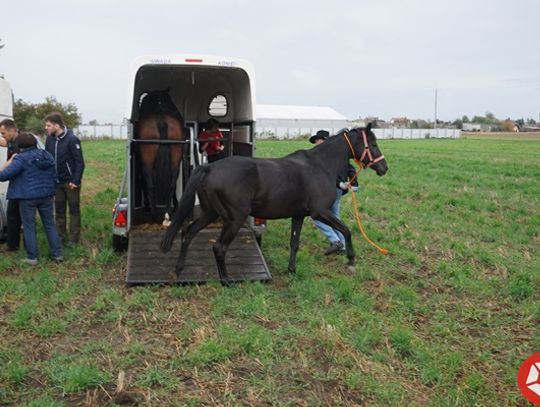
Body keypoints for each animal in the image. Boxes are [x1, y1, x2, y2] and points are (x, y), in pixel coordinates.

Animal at [160, 123, 388, 284]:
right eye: (373, 144)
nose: (384, 168)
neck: (320, 166)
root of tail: (210, 168)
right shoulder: (320, 212)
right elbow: (347, 230)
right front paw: (351, 260)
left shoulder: (299, 215)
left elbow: (294, 243)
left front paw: (292, 270)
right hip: (234, 219)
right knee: (219, 248)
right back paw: (226, 281)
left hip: (210, 213)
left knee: (187, 232)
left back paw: (177, 270)